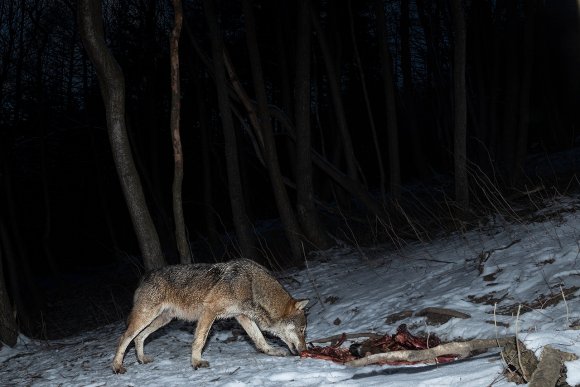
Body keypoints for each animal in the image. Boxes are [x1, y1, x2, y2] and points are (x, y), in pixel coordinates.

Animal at [110, 260, 306, 374]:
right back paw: (117, 366)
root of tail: (145, 276)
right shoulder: (209, 311)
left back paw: (142, 359)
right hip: (146, 317)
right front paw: (196, 362)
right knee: (123, 337)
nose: (304, 350)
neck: (251, 285)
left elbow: (259, 339)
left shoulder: (242, 317)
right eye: (303, 330)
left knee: (139, 338)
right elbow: (200, 340)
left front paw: (271, 351)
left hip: (161, 321)